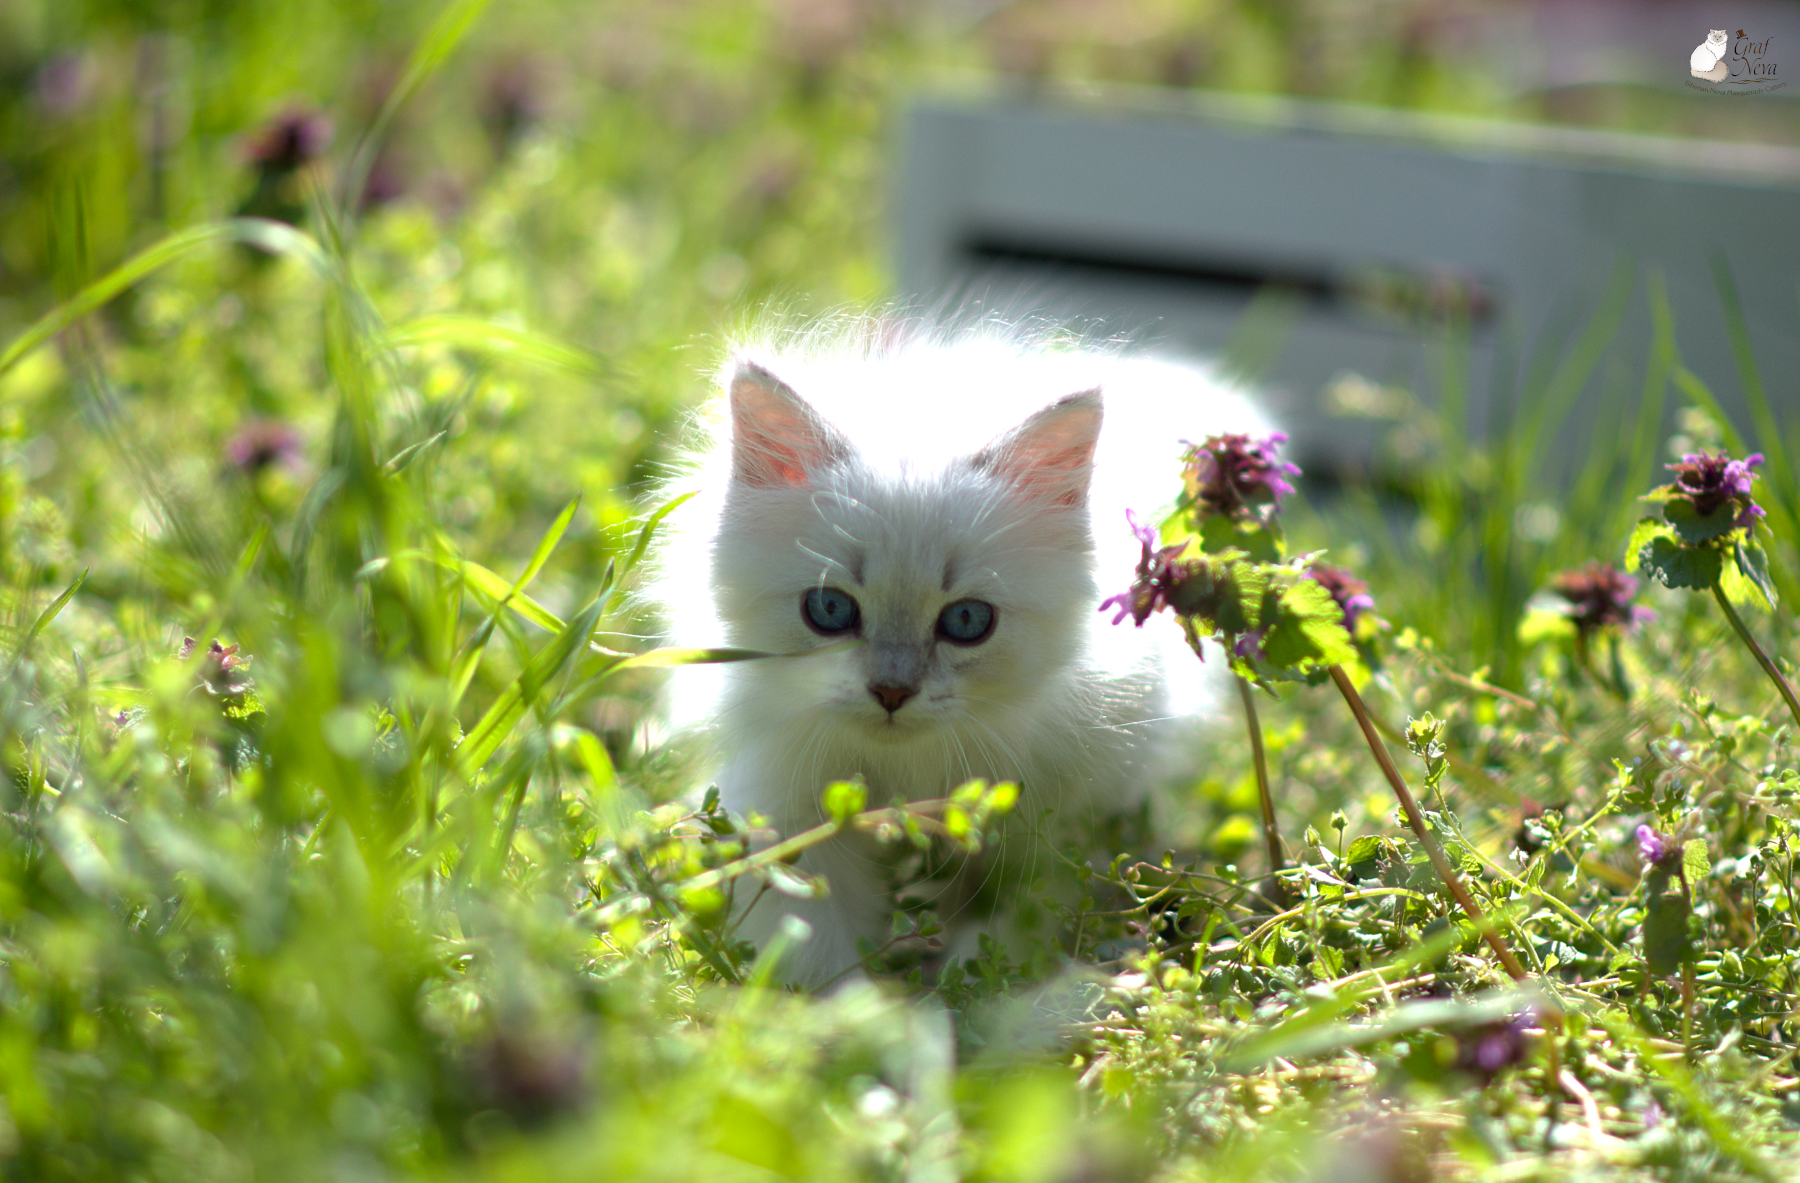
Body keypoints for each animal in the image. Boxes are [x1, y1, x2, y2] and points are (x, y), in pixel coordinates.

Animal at [658, 318, 1267, 979]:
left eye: (968, 621)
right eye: (830, 610)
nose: (892, 692)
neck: (911, 767)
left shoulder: (1060, 820)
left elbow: (1017, 925)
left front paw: (971, 988)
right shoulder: (786, 802)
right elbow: (812, 939)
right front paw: (854, 1003)